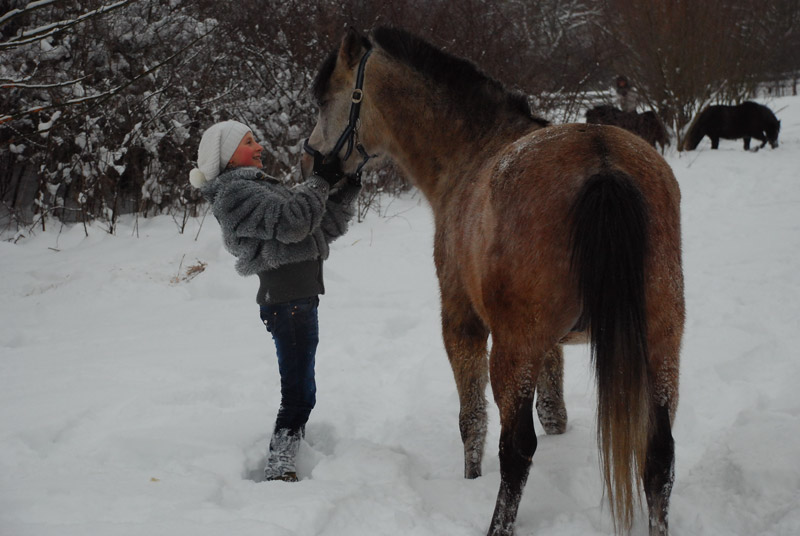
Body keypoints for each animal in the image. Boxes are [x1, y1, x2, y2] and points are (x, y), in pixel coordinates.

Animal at [304, 28, 684, 536]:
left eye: (326, 99)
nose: (312, 166)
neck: (472, 151)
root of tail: (602, 163)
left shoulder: (462, 323)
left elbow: (473, 421)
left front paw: (470, 479)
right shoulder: (552, 344)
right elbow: (555, 410)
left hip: (514, 349)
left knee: (517, 449)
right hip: (660, 342)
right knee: (658, 455)